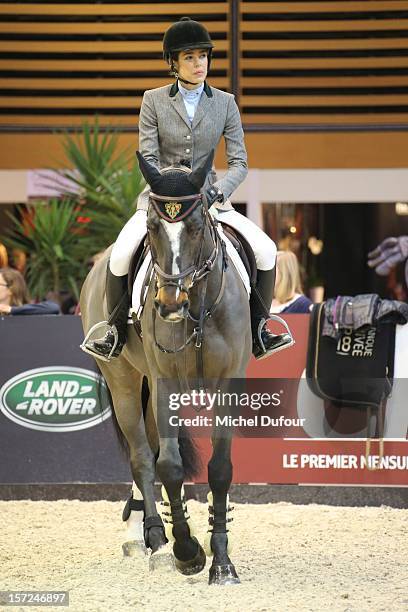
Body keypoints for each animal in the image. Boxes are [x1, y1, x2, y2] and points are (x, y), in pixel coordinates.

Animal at [79, 152, 252, 584]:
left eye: (195, 227)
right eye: (153, 227)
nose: (169, 304)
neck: (199, 305)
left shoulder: (228, 384)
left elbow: (220, 469)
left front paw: (221, 561)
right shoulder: (165, 384)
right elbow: (169, 466)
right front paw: (187, 552)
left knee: (153, 448)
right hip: (124, 382)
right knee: (143, 456)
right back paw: (156, 537)